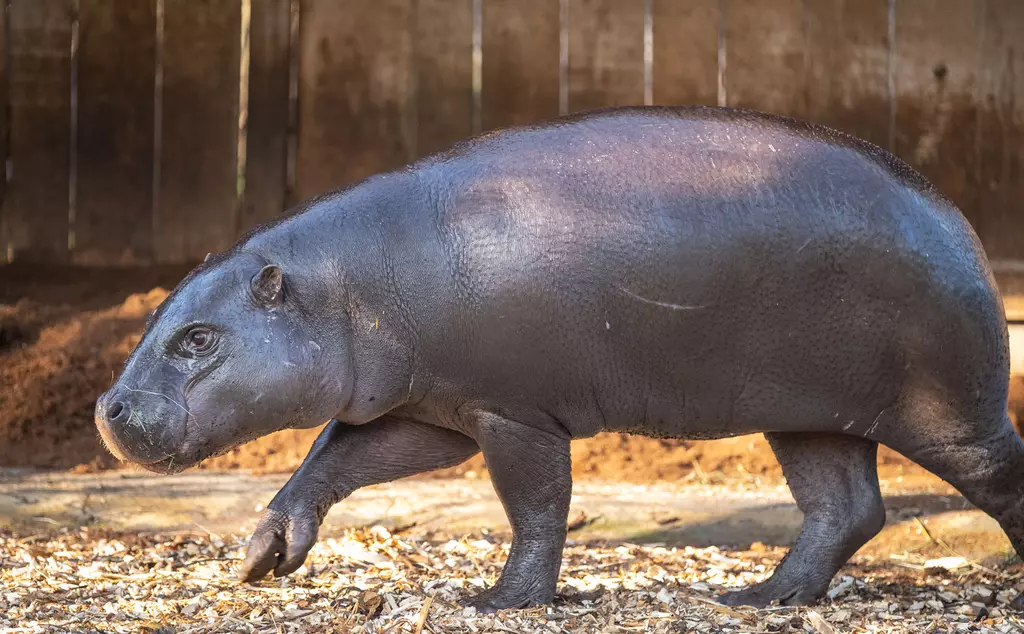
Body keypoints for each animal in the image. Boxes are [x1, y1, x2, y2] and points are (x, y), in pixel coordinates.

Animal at [94, 108, 1015, 610]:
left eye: (199, 339)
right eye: (162, 317)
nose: (107, 408)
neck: (345, 284)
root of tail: (961, 226)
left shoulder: (512, 411)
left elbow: (537, 507)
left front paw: (501, 601)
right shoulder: (435, 408)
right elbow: (337, 457)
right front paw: (261, 555)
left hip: (947, 410)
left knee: (997, 478)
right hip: (806, 410)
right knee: (846, 507)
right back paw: (762, 596)